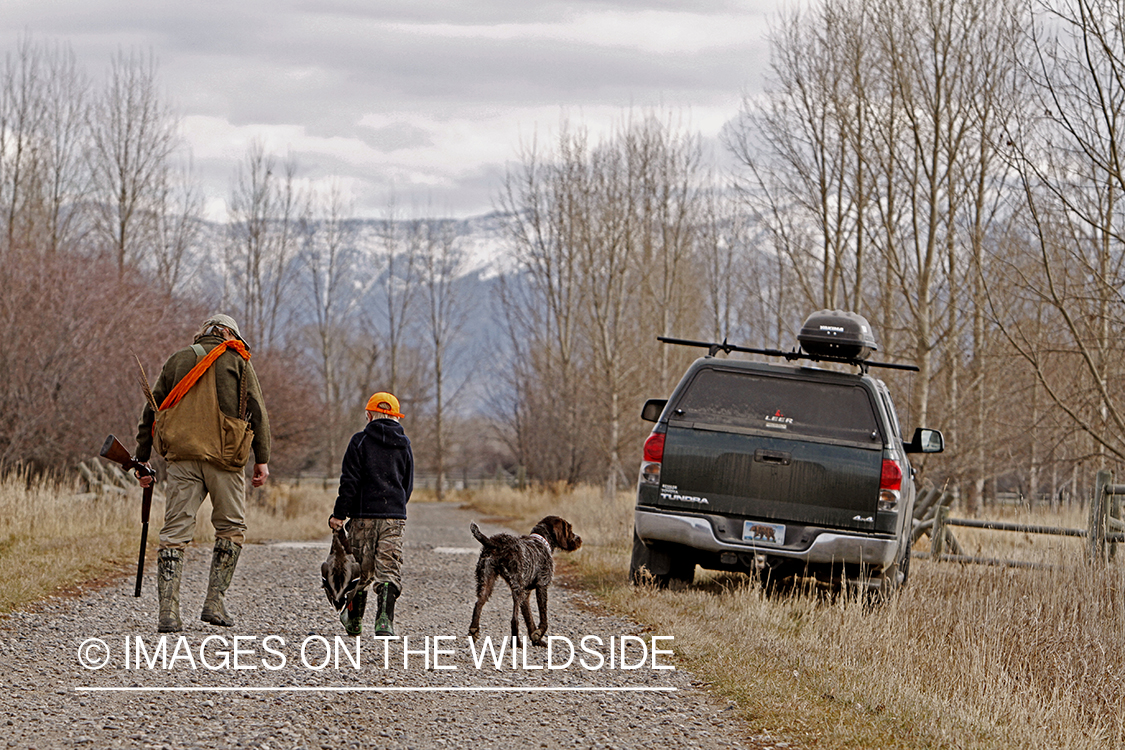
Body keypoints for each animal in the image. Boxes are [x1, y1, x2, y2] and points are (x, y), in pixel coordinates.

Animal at [465, 517, 580, 647]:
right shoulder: (542, 585)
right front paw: (539, 633)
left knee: (478, 604)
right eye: (569, 529)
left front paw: (536, 639)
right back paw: (516, 642)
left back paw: (474, 630)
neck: (541, 541)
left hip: (487, 581)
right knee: (514, 619)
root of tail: (496, 543)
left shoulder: (526, 594)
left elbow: (529, 618)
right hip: (517, 587)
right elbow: (543, 618)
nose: (579, 539)